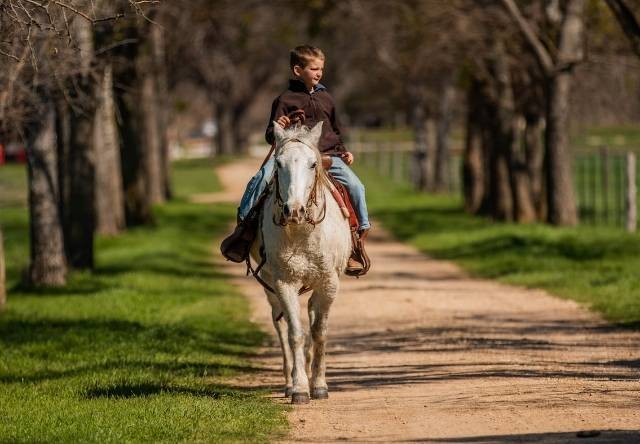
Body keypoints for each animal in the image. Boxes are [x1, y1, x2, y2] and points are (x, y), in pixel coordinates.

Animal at [250, 121, 350, 406]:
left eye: (312, 164)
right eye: (278, 164)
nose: (294, 210)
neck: (301, 231)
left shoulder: (329, 283)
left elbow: (319, 332)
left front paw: (319, 385)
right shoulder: (285, 283)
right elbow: (295, 333)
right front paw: (299, 389)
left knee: (311, 315)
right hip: (270, 287)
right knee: (281, 326)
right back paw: (289, 380)